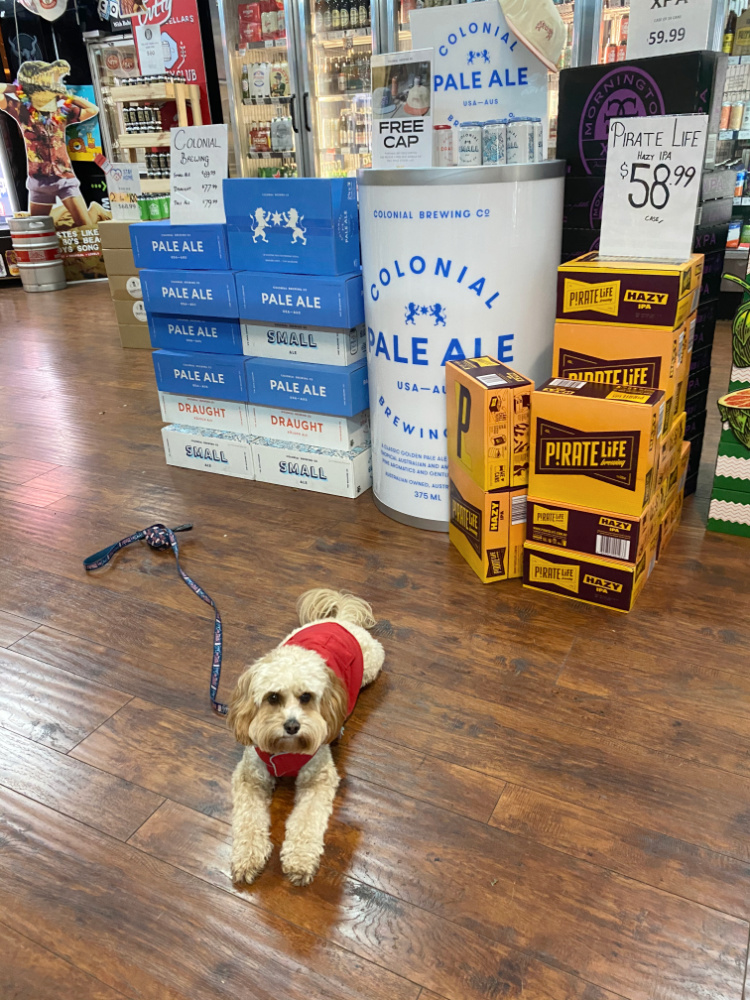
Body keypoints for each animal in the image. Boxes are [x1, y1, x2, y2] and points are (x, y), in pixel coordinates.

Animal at [228, 588, 382, 888]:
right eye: (272, 697)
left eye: (307, 697)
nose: (292, 726)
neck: (285, 751)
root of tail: (340, 619)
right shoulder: (251, 775)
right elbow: (249, 819)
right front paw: (247, 857)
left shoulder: (318, 778)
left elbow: (307, 821)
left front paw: (299, 861)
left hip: (371, 664)